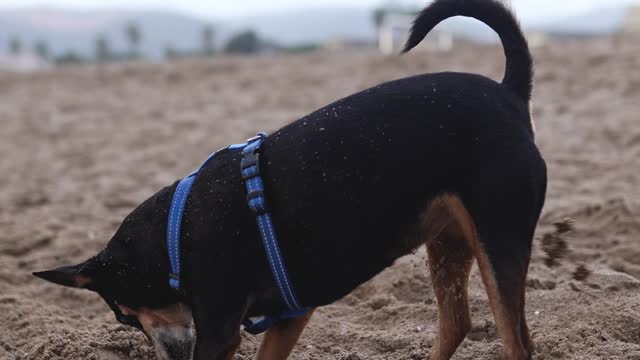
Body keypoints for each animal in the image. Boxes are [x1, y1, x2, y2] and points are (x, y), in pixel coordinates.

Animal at [33, 0, 544, 358]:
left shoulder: (217, 334)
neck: (176, 234)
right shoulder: (289, 313)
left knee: (516, 343)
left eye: (125, 317)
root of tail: (509, 93)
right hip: (449, 242)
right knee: (457, 324)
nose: (160, 354)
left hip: (497, 239)